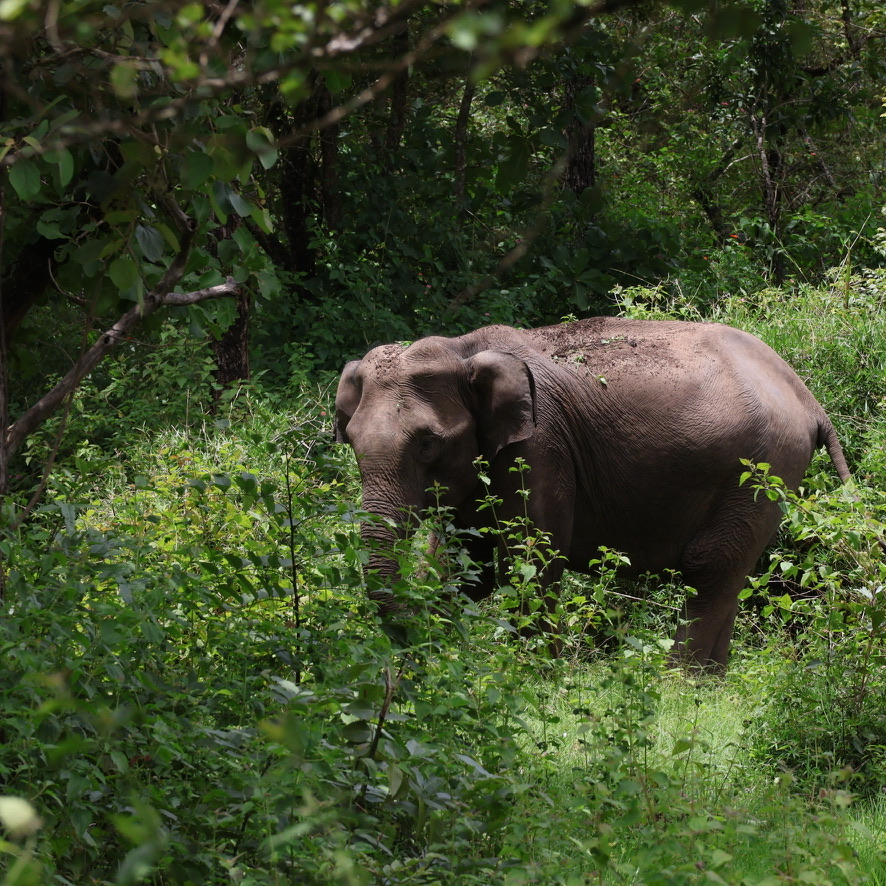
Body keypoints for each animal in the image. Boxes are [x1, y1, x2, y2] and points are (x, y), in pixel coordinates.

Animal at [334, 317, 851, 671]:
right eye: (350, 440)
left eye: (427, 444)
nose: (409, 649)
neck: (465, 350)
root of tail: (807, 397)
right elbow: (463, 568)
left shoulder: (540, 447)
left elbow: (532, 557)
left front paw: (534, 678)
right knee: (729, 575)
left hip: (763, 468)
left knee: (709, 567)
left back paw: (676, 686)